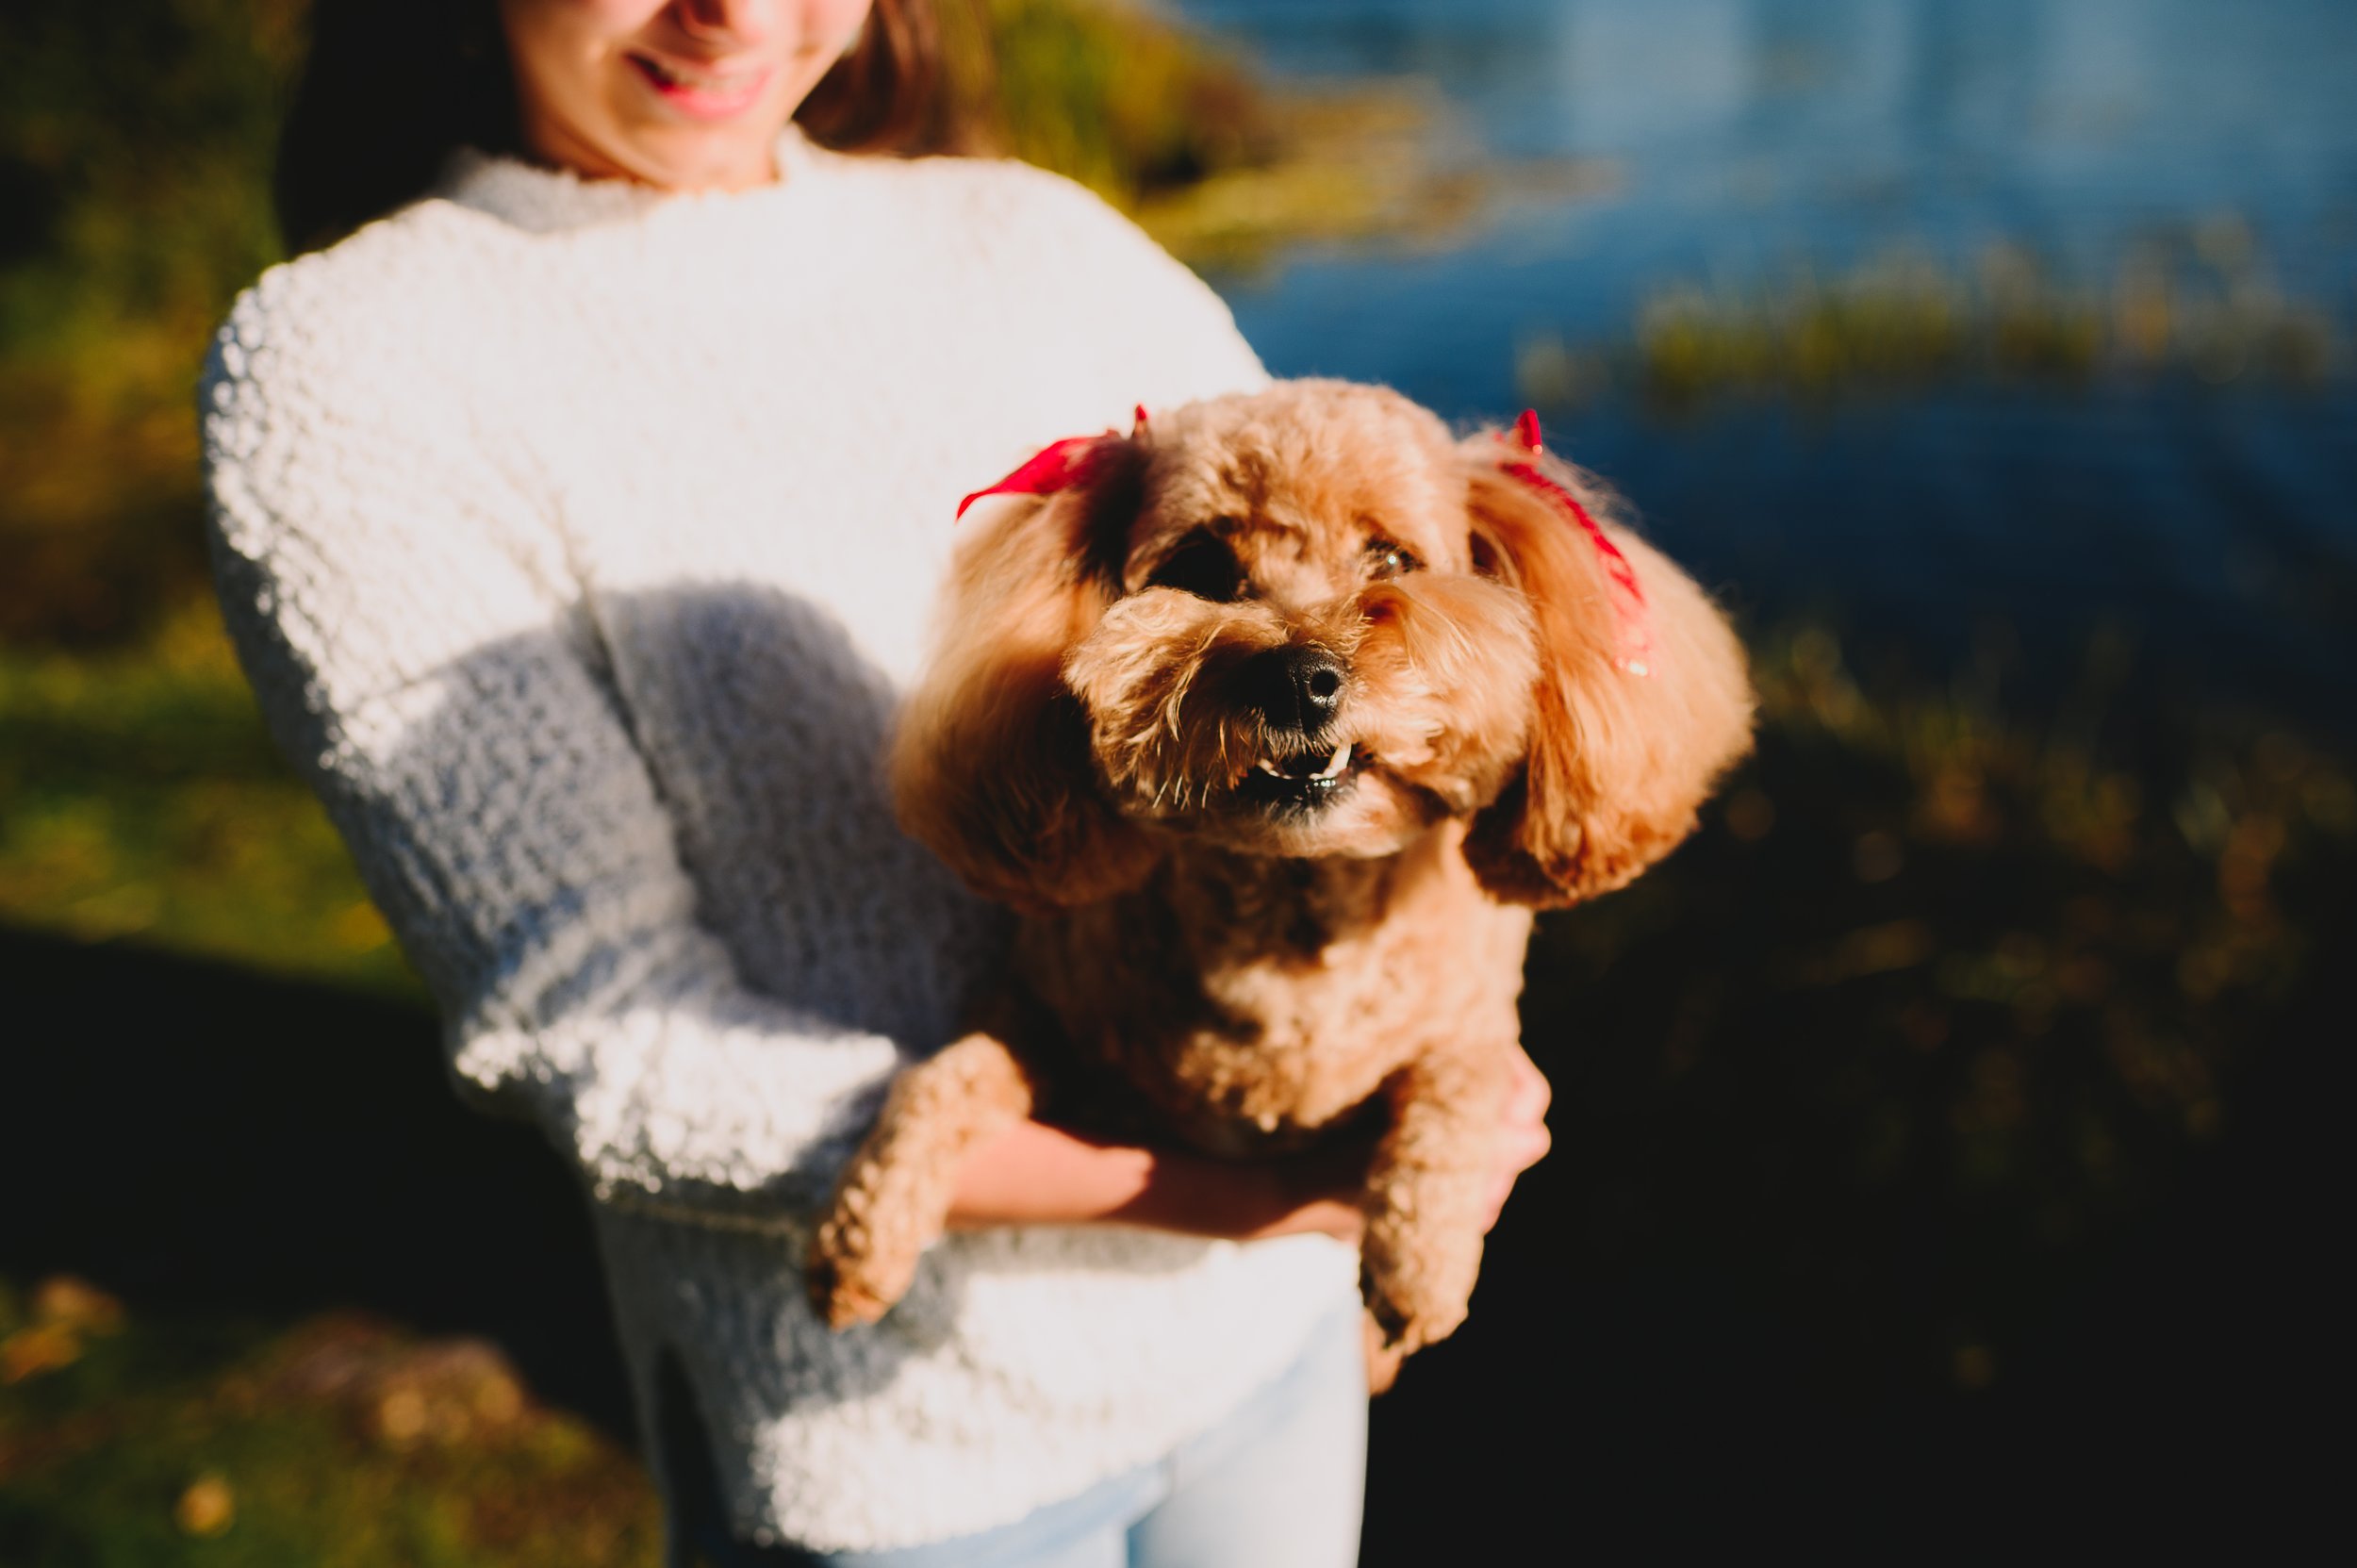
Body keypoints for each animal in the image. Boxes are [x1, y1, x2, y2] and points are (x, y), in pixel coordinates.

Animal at [811, 377, 1754, 1358]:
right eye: (1200, 566)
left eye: (1392, 558)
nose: (1301, 677)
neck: (1294, 914)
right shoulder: (1039, 1007)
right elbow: (942, 1075)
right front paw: (859, 1238)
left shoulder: (1476, 1023)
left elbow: (1458, 1090)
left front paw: (1420, 1265)